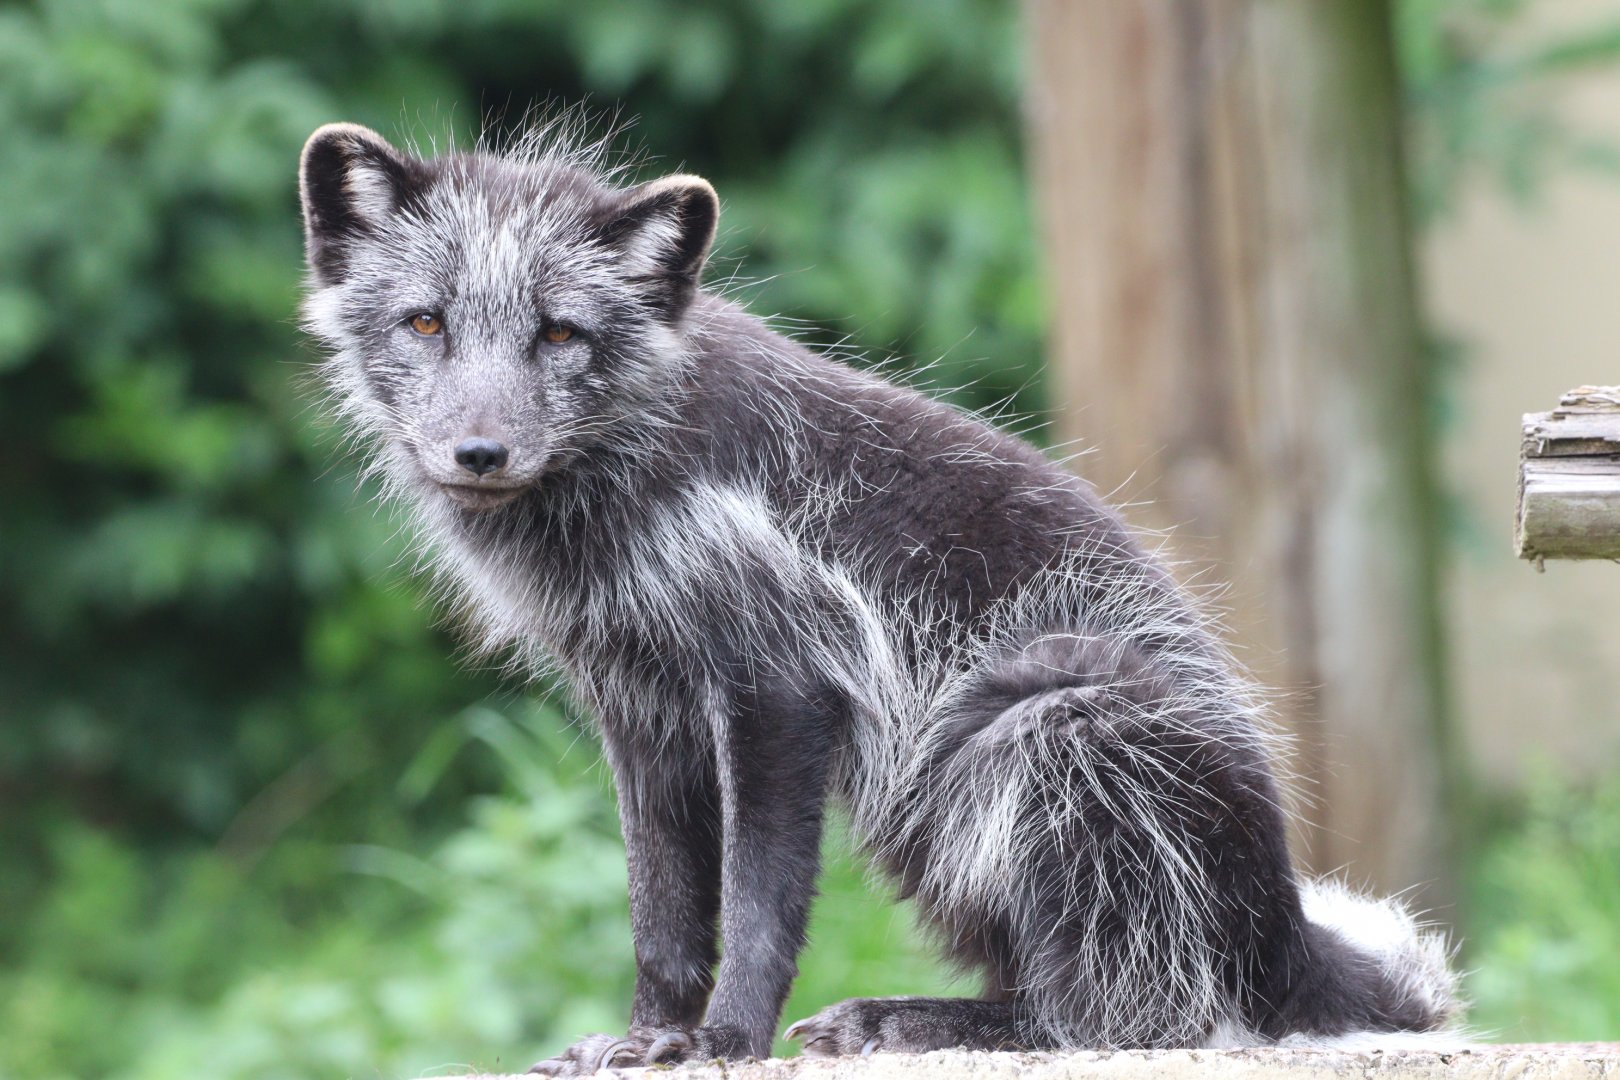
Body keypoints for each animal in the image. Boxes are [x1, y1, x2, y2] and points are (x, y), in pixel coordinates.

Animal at [297, 119, 1460, 1075]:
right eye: (426, 325)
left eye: (557, 334)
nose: (479, 453)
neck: (634, 477)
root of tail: (1285, 925)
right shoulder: (639, 708)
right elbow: (662, 912)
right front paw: (646, 1038)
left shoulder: (778, 689)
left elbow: (757, 906)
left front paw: (726, 1041)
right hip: (932, 819)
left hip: (1053, 724)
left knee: (1123, 1017)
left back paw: (914, 1020)